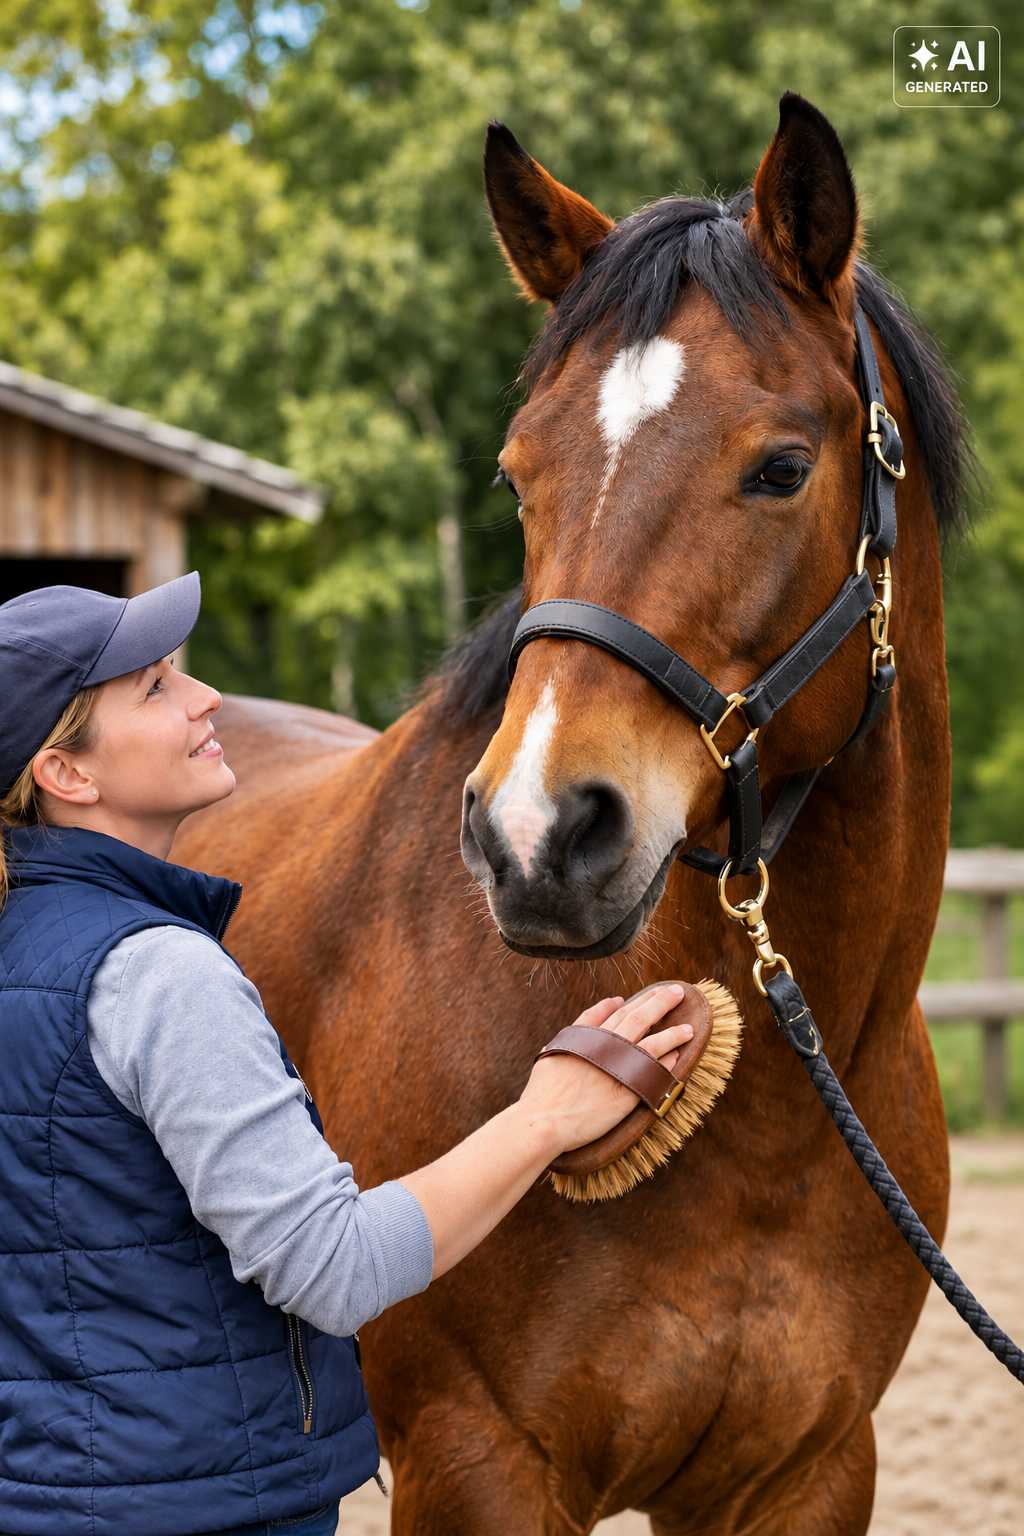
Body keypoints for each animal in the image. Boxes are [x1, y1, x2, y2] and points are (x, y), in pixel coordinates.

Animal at [174, 92, 971, 1534]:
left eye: (781, 468)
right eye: (515, 477)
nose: (535, 839)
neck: (763, 1131)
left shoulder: (813, 1471)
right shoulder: (476, 1462)